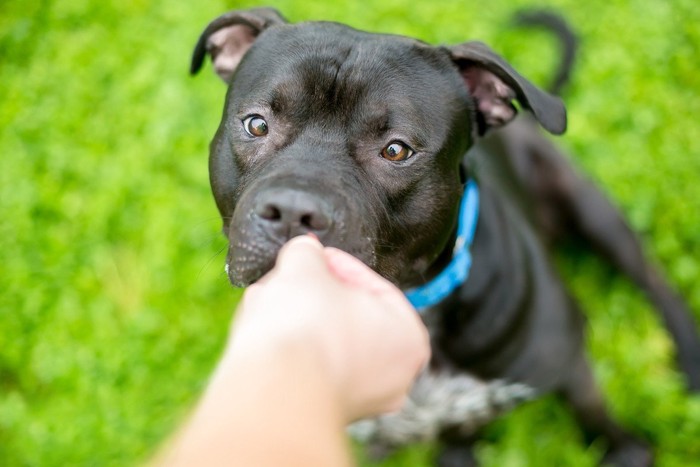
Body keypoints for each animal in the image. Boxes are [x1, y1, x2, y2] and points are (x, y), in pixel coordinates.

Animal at [190, 9, 700, 466]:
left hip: (591, 207)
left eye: (397, 150)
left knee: (649, 275)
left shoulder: (564, 356)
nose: (295, 210)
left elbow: (590, 408)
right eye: (257, 124)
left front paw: (624, 451)